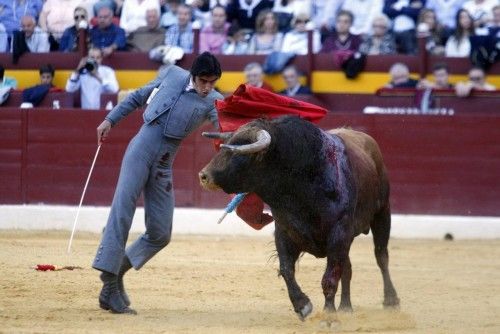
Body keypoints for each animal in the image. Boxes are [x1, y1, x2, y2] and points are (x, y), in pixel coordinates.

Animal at [198, 116, 398, 320]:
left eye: (238, 152)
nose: (203, 176)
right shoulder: (284, 232)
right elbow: (287, 270)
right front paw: (303, 305)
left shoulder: (339, 233)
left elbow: (329, 278)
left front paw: (328, 316)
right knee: (347, 267)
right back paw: (345, 307)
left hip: (382, 213)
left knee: (381, 255)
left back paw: (391, 300)